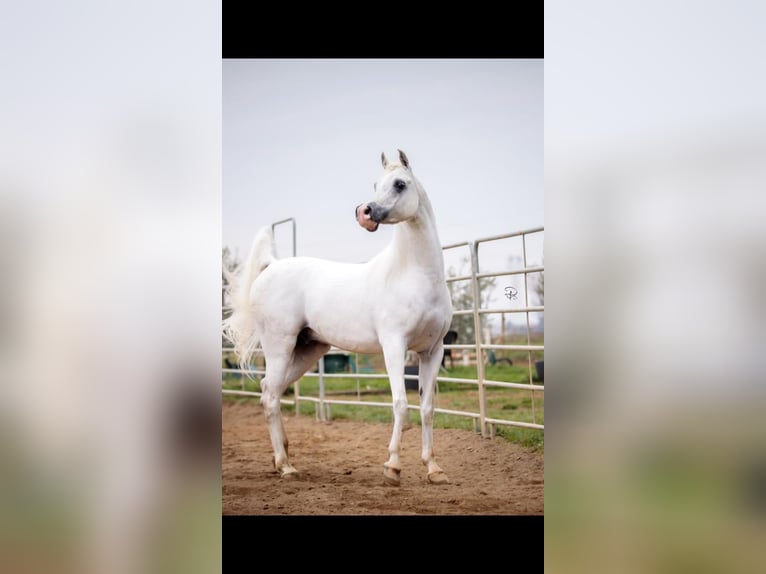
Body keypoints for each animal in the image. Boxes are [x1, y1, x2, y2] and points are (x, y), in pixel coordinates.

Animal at [223, 149, 453, 486]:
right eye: (375, 184)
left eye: (400, 184)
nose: (364, 212)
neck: (413, 274)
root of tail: (271, 266)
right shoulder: (394, 346)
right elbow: (400, 405)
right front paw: (392, 467)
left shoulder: (432, 351)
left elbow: (427, 409)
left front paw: (434, 469)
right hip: (279, 346)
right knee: (271, 398)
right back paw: (286, 467)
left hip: (307, 350)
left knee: (268, 390)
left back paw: (282, 459)